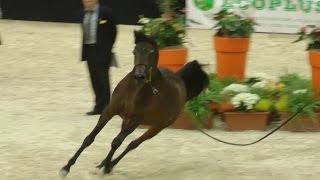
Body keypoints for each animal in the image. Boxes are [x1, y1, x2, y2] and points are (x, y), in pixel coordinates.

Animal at [59, 30, 210, 176]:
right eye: (135, 51)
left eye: (151, 52)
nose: (139, 75)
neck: (134, 91)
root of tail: (181, 81)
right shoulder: (110, 110)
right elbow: (89, 138)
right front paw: (66, 168)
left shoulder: (137, 119)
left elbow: (116, 142)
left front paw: (104, 168)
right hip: (127, 120)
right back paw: (103, 164)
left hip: (157, 127)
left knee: (132, 144)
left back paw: (108, 166)